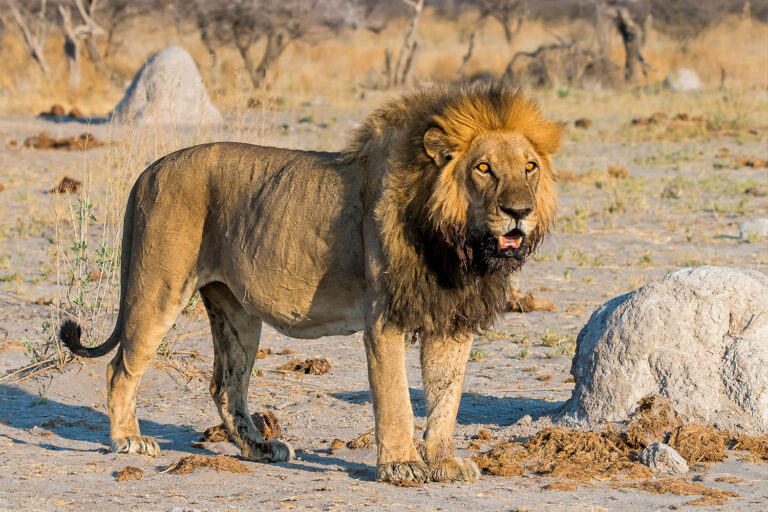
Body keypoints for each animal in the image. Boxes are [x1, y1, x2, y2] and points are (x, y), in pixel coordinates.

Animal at [59, 83, 563, 484]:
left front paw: (443, 462)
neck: (458, 246)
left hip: (237, 310)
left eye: (530, 167)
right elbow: (396, 398)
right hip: (158, 289)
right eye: (484, 168)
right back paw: (129, 441)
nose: (519, 211)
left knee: (225, 385)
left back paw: (260, 447)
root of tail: (149, 170)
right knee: (120, 368)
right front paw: (401, 464)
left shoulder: (451, 318)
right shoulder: (385, 318)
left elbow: (446, 398)